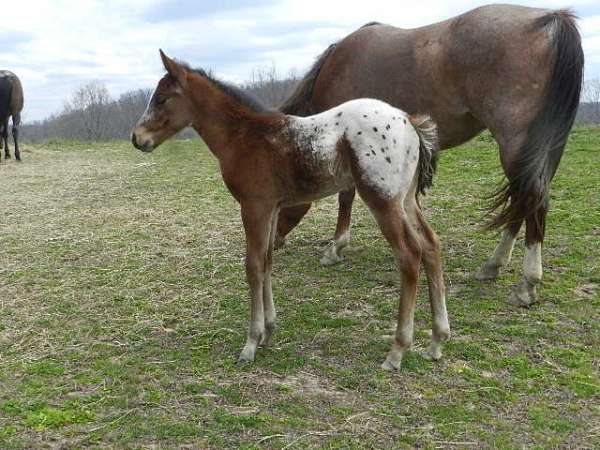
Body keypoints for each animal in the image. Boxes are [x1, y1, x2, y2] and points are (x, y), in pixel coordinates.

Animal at [131, 51, 450, 370]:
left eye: (161, 98)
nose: (137, 138)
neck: (242, 135)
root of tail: (408, 120)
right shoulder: (272, 209)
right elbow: (267, 262)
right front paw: (269, 331)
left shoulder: (254, 207)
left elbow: (253, 266)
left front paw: (251, 343)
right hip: (405, 200)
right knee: (431, 245)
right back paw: (437, 340)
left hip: (382, 200)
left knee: (409, 255)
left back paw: (397, 351)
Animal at [276, 4, 580, 306]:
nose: (275, 240)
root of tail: (550, 19)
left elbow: (346, 196)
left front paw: (336, 247)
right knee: (522, 202)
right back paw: (493, 265)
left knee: (532, 200)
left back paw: (526, 284)